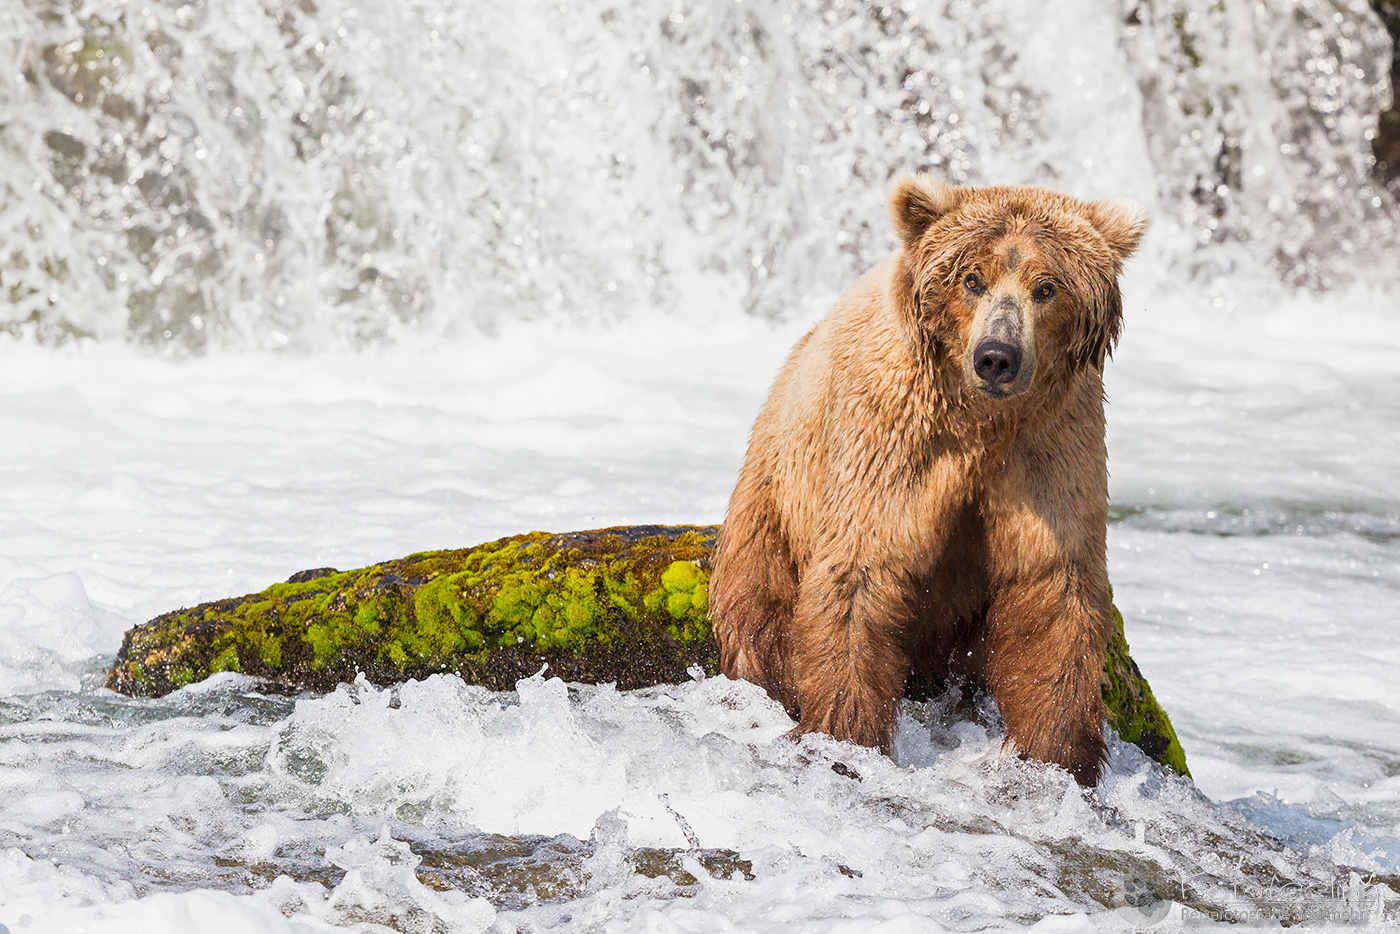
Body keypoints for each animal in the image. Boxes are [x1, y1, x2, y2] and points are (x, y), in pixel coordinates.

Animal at [708, 175, 1148, 786]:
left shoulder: (1050, 448)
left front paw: (1060, 754)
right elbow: (861, 571)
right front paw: (846, 732)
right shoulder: (893, 438)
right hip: (774, 493)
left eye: (1046, 287)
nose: (997, 356)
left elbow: (1051, 588)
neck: (981, 422)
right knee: (757, 600)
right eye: (971, 278)